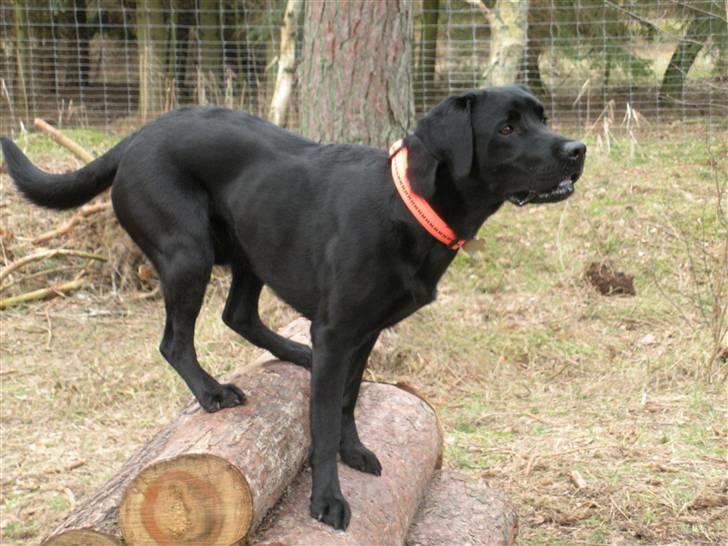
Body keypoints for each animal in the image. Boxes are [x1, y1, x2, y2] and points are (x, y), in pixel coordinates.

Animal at [1, 85, 584, 528]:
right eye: (506, 128)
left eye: (540, 117)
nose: (577, 150)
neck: (410, 204)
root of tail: (138, 136)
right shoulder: (337, 332)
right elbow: (321, 421)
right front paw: (328, 500)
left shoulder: (362, 334)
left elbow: (346, 400)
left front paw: (355, 451)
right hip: (189, 252)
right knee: (175, 340)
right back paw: (212, 392)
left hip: (250, 246)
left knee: (237, 315)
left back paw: (292, 354)